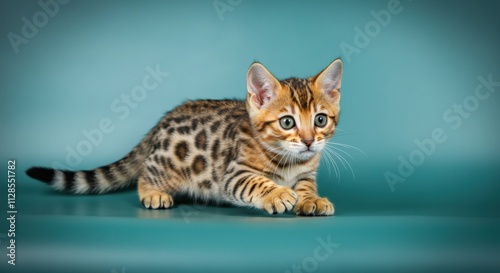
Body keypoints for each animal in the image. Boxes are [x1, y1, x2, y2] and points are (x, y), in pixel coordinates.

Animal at [26, 58, 344, 215]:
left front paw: (311, 200)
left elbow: (306, 187)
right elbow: (256, 182)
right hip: (166, 164)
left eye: (320, 119)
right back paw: (153, 193)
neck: (290, 161)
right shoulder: (234, 173)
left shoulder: (306, 173)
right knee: (143, 175)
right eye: (287, 122)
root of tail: (161, 123)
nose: (308, 141)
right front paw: (277, 193)